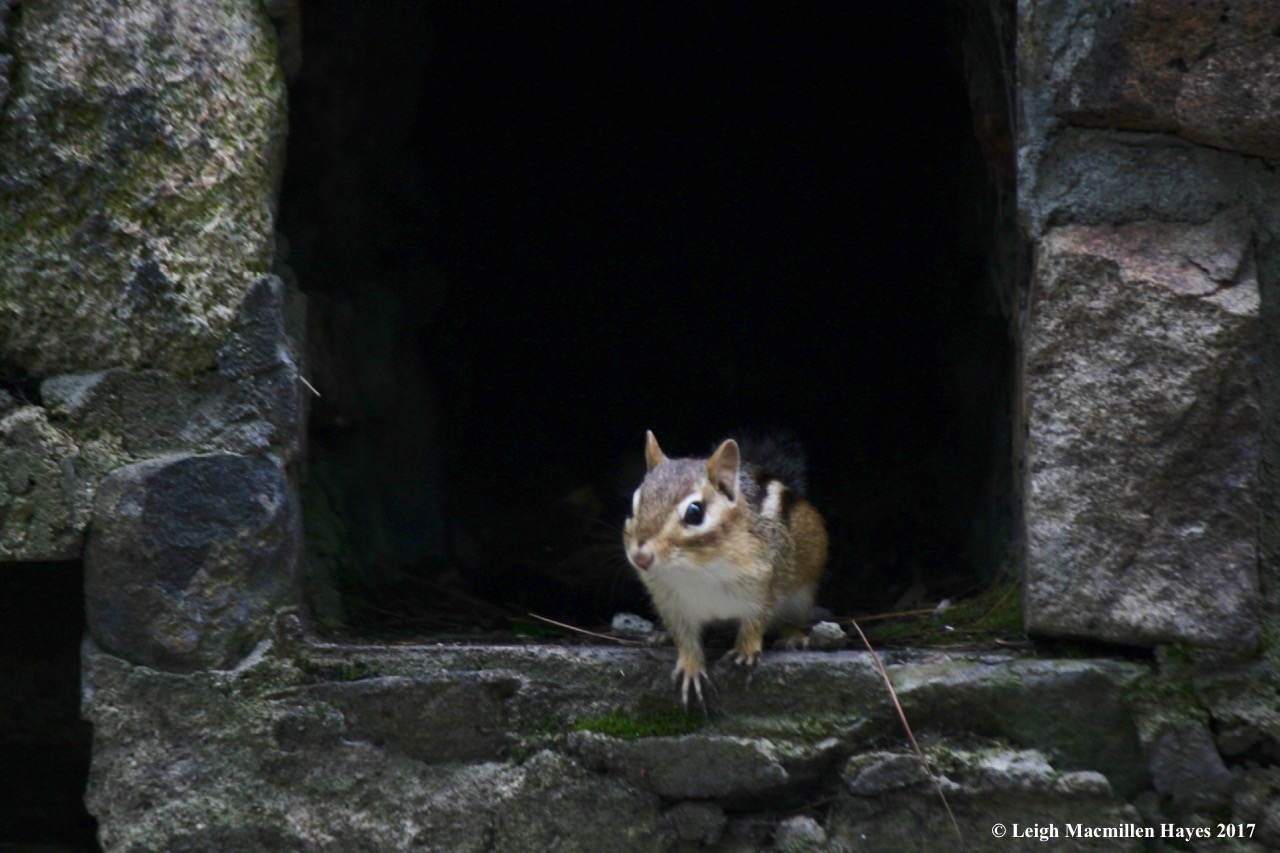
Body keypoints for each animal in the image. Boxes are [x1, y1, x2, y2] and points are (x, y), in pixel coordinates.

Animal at [622, 431, 829, 707]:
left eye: (695, 512)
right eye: (634, 505)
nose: (641, 558)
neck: (696, 568)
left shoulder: (763, 584)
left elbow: (756, 620)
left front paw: (745, 651)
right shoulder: (671, 602)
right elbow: (683, 635)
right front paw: (690, 666)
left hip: (801, 597)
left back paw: (792, 636)